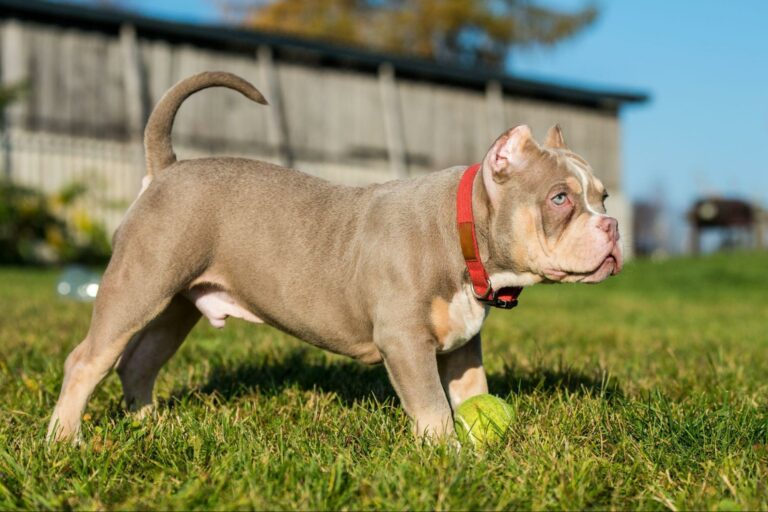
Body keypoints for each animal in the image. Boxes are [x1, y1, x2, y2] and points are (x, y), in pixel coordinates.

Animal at [46, 72, 624, 444]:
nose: (613, 226)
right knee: (88, 360)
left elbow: (469, 393)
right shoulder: (405, 343)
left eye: (602, 196)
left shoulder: (462, 347)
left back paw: (154, 426)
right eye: (560, 198)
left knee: (139, 362)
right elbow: (433, 408)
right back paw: (63, 441)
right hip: (140, 284)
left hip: (176, 306)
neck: (463, 235)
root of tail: (166, 169)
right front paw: (447, 455)